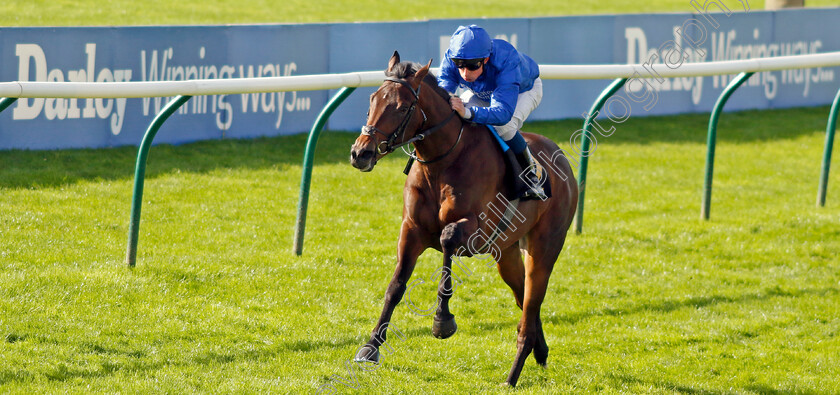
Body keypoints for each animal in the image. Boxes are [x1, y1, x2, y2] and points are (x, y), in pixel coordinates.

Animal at [348, 51, 576, 388]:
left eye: (401, 107)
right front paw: (371, 347)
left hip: (544, 249)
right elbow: (396, 285)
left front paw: (442, 321)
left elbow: (446, 242)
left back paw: (512, 376)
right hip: (506, 254)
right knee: (525, 301)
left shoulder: (474, 230)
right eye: (372, 99)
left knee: (531, 304)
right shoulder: (411, 230)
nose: (360, 153)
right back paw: (540, 350)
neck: (441, 163)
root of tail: (563, 161)